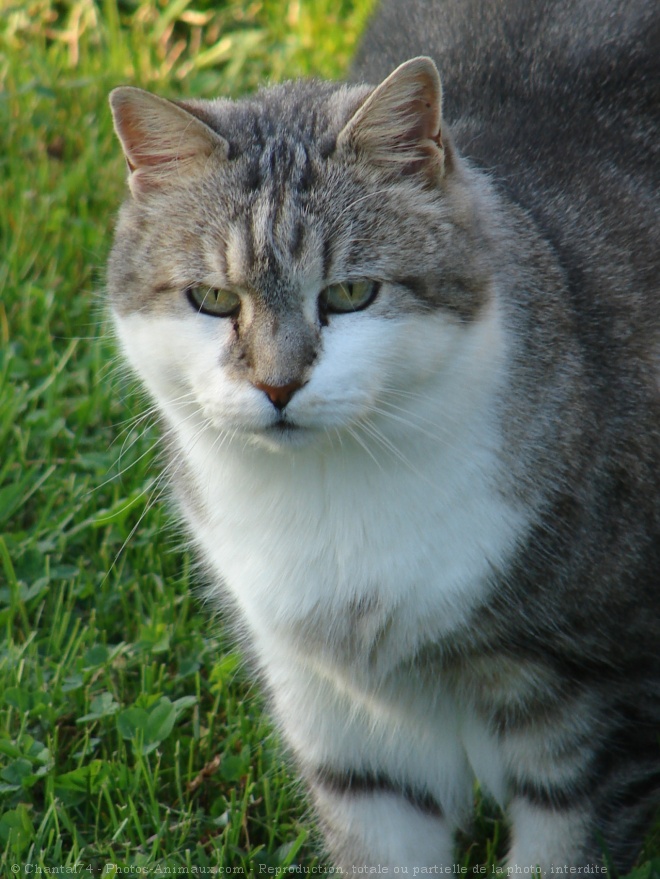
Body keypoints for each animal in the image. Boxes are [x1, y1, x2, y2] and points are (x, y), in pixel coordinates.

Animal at [105, 0, 656, 868]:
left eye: (351, 293)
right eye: (214, 299)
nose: (278, 385)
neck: (333, 498)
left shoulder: (603, 703)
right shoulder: (347, 728)